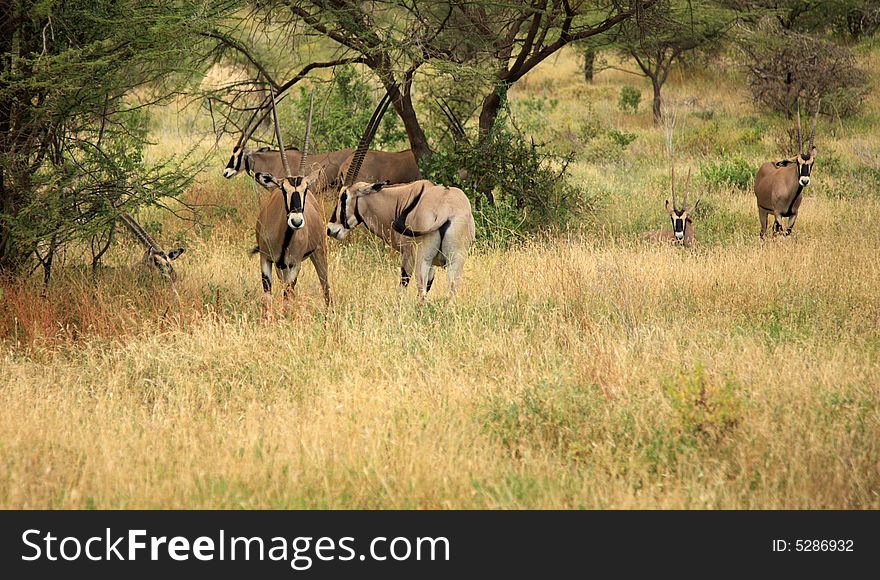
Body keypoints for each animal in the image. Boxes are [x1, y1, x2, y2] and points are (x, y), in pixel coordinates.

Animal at [258, 92, 334, 314]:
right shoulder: (265, 259)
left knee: (325, 286)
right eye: (283, 189)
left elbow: (286, 297)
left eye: (305, 189)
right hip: (281, 267)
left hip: (319, 254)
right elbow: (268, 298)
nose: (297, 221)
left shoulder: (295, 264)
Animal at [326, 92, 474, 300]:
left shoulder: (407, 257)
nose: (331, 229)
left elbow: (402, 288)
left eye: (344, 197)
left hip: (422, 260)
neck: (398, 199)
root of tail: (447, 212)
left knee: (422, 296)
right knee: (449, 296)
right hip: (456, 261)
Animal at [752, 99, 820, 238]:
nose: (804, 181)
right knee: (763, 232)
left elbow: (786, 233)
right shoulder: (778, 213)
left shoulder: (793, 215)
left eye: (812, 162)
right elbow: (780, 233)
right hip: (762, 210)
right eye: (797, 161)